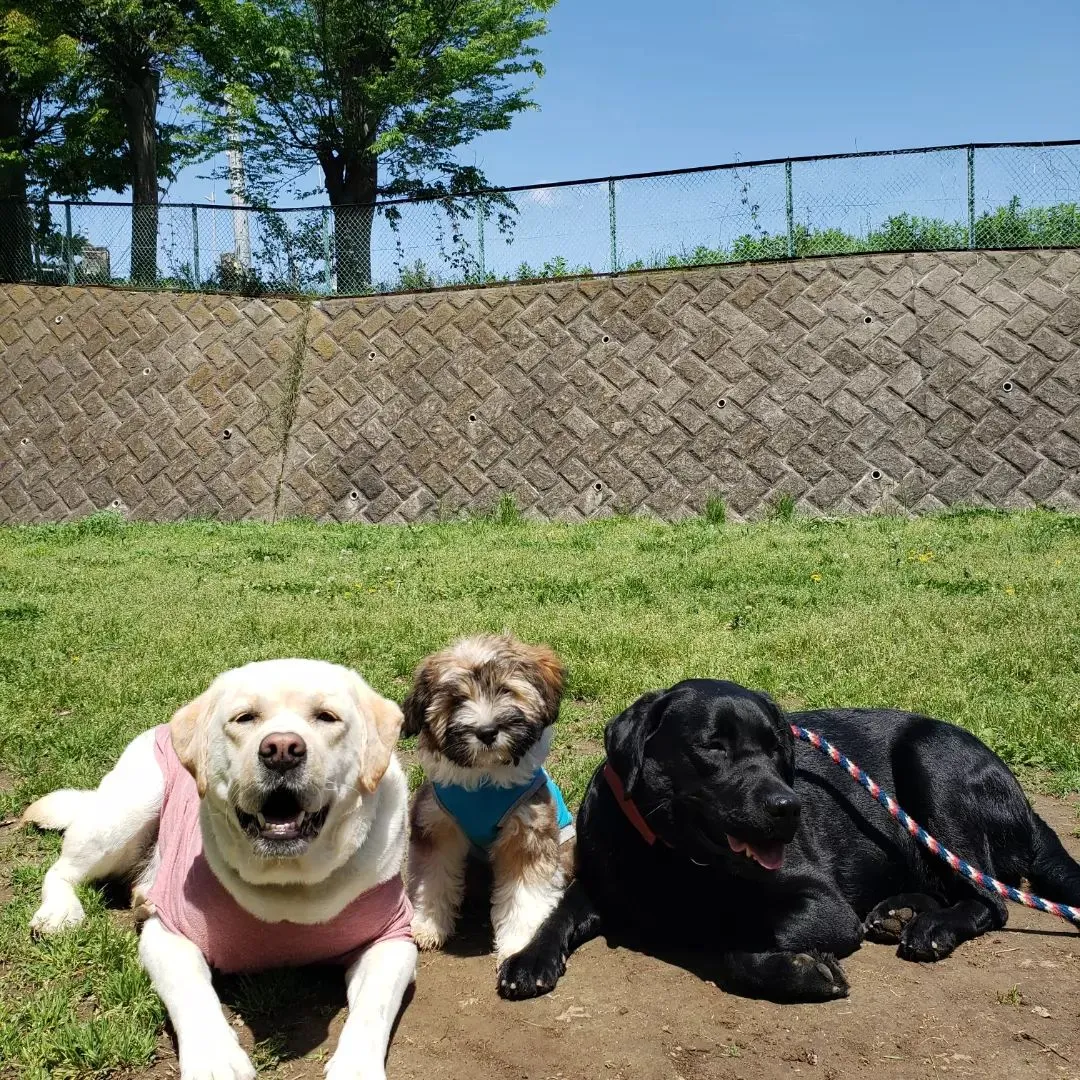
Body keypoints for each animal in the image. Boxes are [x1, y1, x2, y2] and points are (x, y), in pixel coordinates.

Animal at [23, 652, 416, 1080]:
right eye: (245, 718)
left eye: (326, 717)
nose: (281, 749)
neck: (290, 887)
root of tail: (162, 726)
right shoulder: (169, 934)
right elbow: (192, 991)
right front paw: (214, 1059)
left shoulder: (393, 939)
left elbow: (373, 1007)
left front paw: (356, 1068)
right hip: (127, 809)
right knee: (62, 869)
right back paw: (60, 913)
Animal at [403, 630, 574, 963]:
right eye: (456, 700)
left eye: (506, 690)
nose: (487, 731)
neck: (484, 778)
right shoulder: (436, 825)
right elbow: (433, 877)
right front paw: (428, 925)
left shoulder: (528, 832)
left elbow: (525, 893)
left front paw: (520, 944)